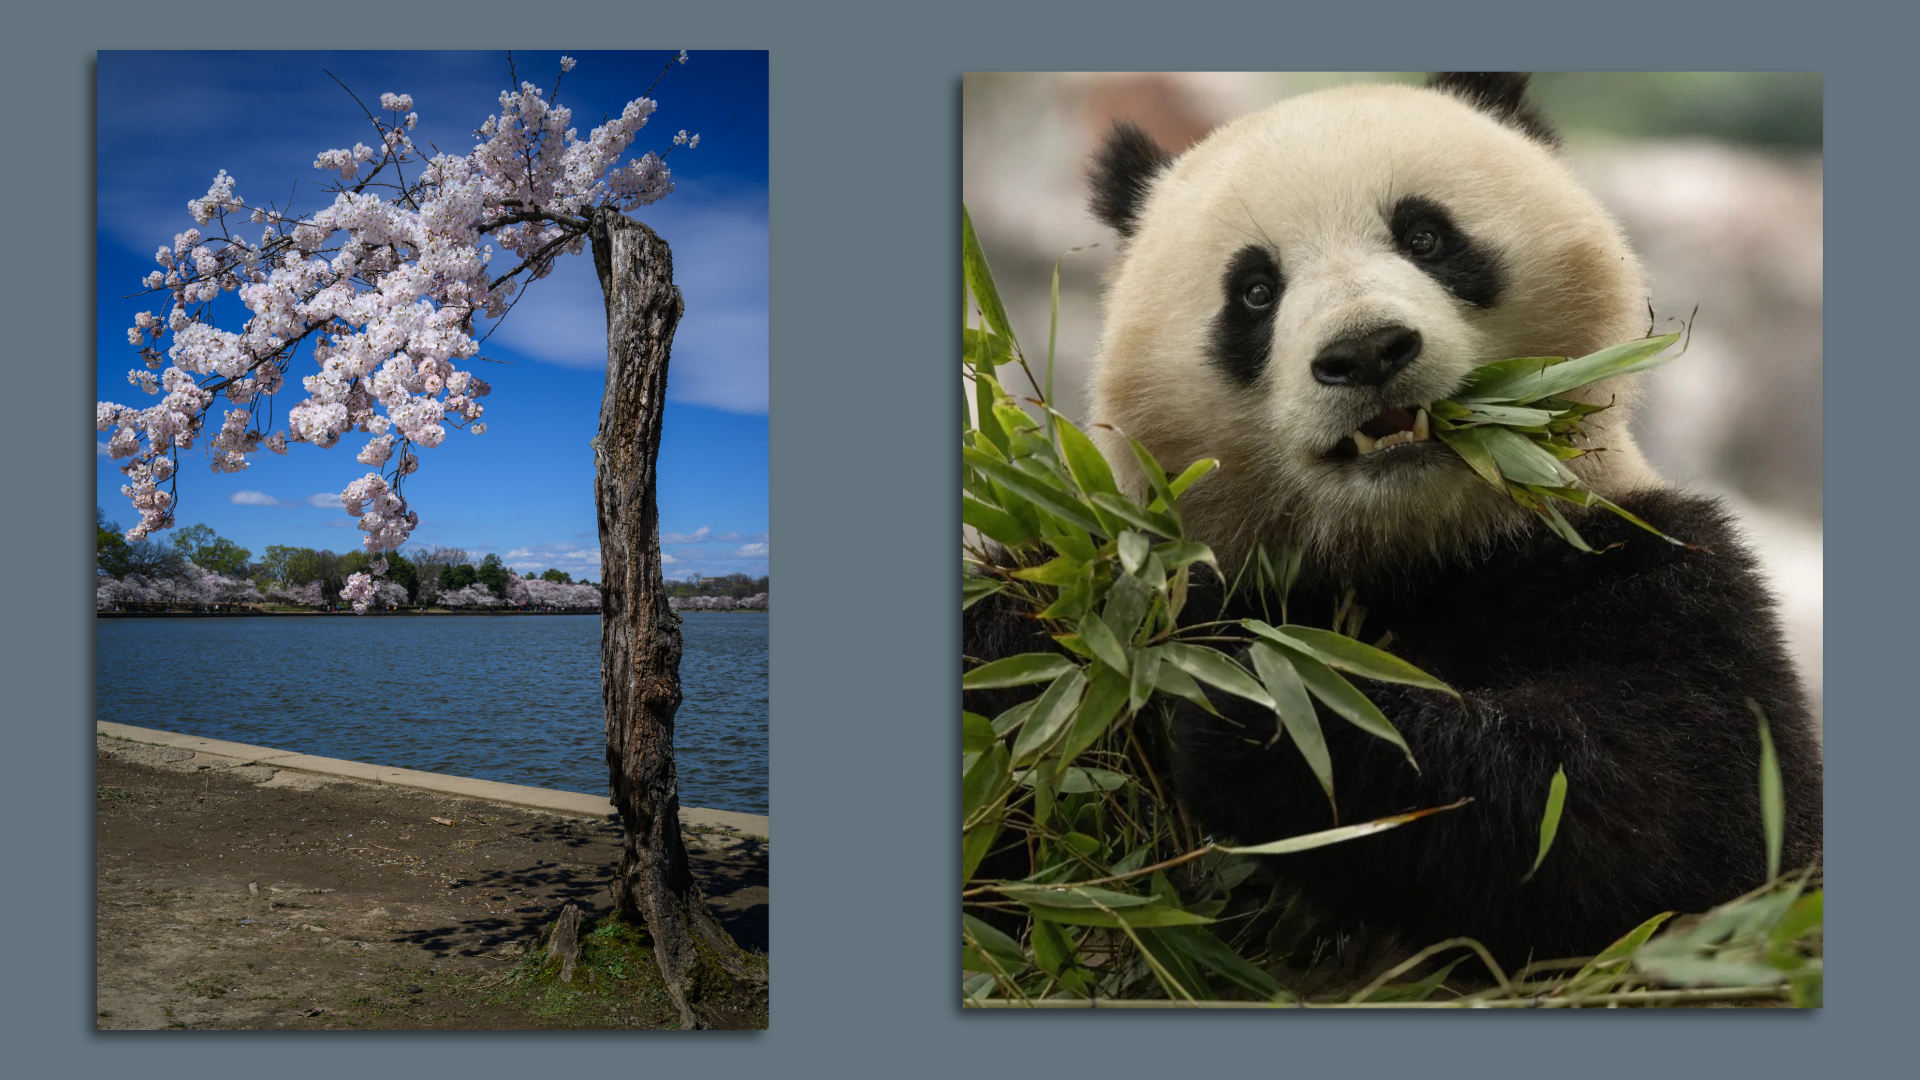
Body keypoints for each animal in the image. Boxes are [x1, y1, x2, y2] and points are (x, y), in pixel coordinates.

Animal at [965, 73, 1822, 966]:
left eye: (1426, 236)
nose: (1368, 350)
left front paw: (1271, 715)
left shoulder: (1642, 560)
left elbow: (1680, 810)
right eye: (1255, 291)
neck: (1405, 548)